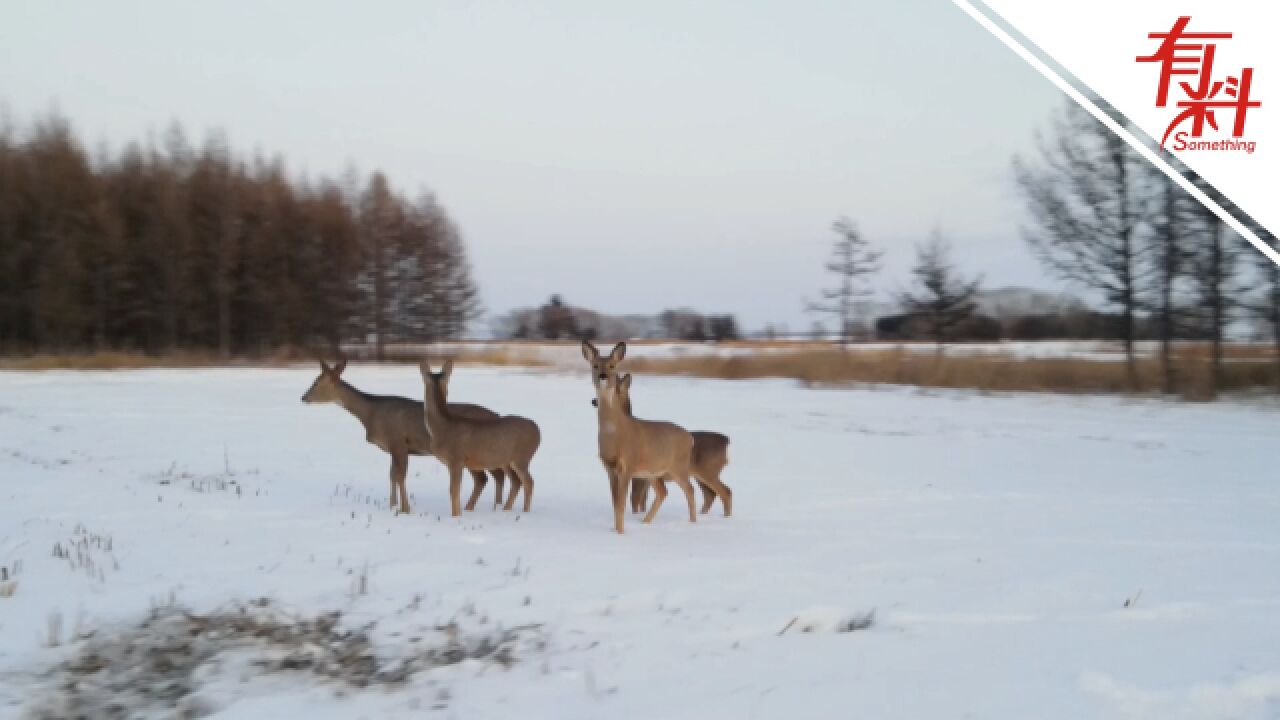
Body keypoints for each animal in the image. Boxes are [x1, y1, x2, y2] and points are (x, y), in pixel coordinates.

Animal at [304, 356, 509, 512]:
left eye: (317, 382)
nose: (303, 397)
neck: (370, 413)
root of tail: (496, 414)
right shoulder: (392, 447)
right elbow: (392, 475)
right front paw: (392, 505)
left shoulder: (398, 442)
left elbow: (400, 476)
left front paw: (405, 509)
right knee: (493, 477)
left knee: (489, 477)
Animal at [419, 356, 540, 515]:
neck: (442, 428)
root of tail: (539, 431)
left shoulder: (456, 459)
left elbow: (454, 491)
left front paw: (456, 515)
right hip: (507, 460)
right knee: (516, 481)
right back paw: (506, 509)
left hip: (522, 456)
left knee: (529, 481)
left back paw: (525, 512)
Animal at [581, 340, 732, 515]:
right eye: (596, 366)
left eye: (612, 367)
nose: (593, 401)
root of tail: (727, 440)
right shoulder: (632, 473)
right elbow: (634, 502)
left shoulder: (636, 474)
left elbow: (633, 501)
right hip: (694, 474)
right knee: (708, 494)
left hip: (705, 470)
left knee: (721, 491)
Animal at [591, 368, 696, 532]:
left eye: (617, 388)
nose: (594, 401)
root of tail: (690, 438)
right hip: (652, 472)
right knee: (663, 492)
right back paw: (645, 522)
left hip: (678, 467)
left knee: (689, 489)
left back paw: (692, 522)